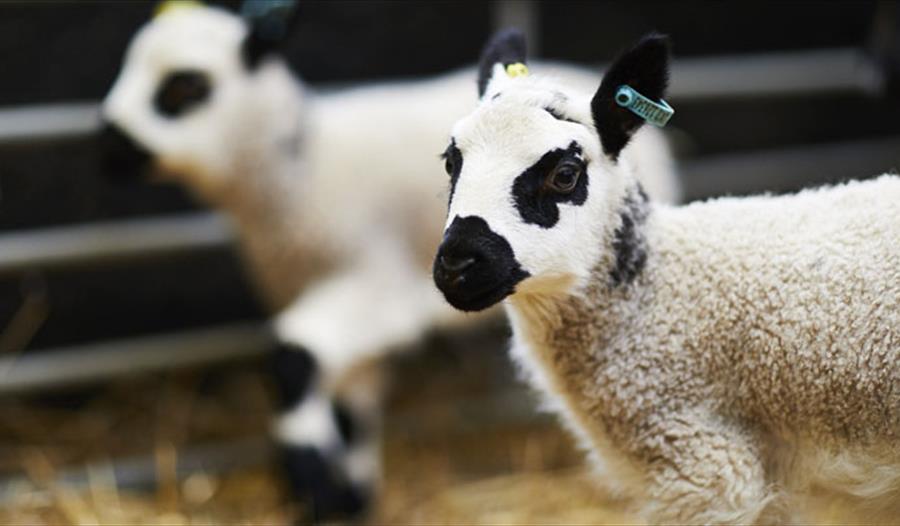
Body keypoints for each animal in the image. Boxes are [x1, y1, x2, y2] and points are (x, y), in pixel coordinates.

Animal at [99, 3, 681, 520]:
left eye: (186, 86)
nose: (108, 143)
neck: (299, 169)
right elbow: (348, 408)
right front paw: (351, 496)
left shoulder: (379, 285)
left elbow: (292, 358)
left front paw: (316, 487)